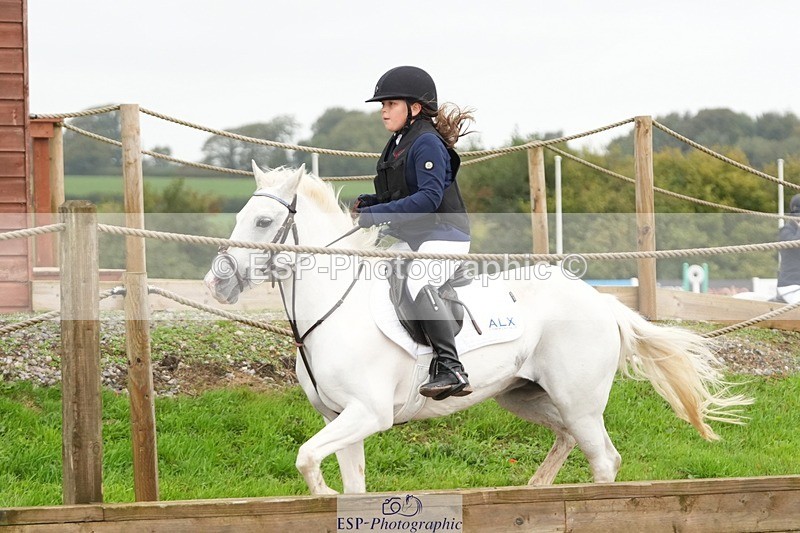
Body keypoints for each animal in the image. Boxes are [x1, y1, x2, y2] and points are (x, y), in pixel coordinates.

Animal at [204, 163, 751, 495]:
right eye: (242, 215)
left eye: (264, 221)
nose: (217, 282)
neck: (332, 308)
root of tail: (601, 301)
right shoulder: (340, 418)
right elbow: (347, 483)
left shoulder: (368, 413)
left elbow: (304, 458)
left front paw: (320, 492)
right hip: (523, 394)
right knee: (568, 439)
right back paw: (534, 489)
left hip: (579, 400)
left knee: (603, 461)